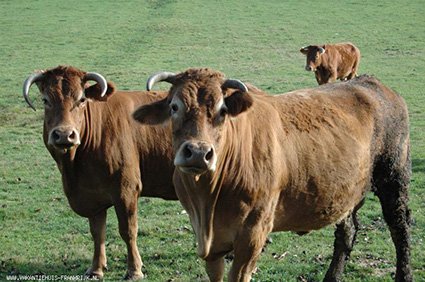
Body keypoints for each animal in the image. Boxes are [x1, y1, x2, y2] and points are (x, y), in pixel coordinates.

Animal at [133, 68, 410, 282]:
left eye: (223, 110)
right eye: (174, 106)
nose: (198, 153)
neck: (208, 201)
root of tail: (372, 83)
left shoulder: (253, 234)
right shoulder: (208, 240)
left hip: (393, 177)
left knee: (400, 229)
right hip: (347, 191)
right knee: (347, 232)